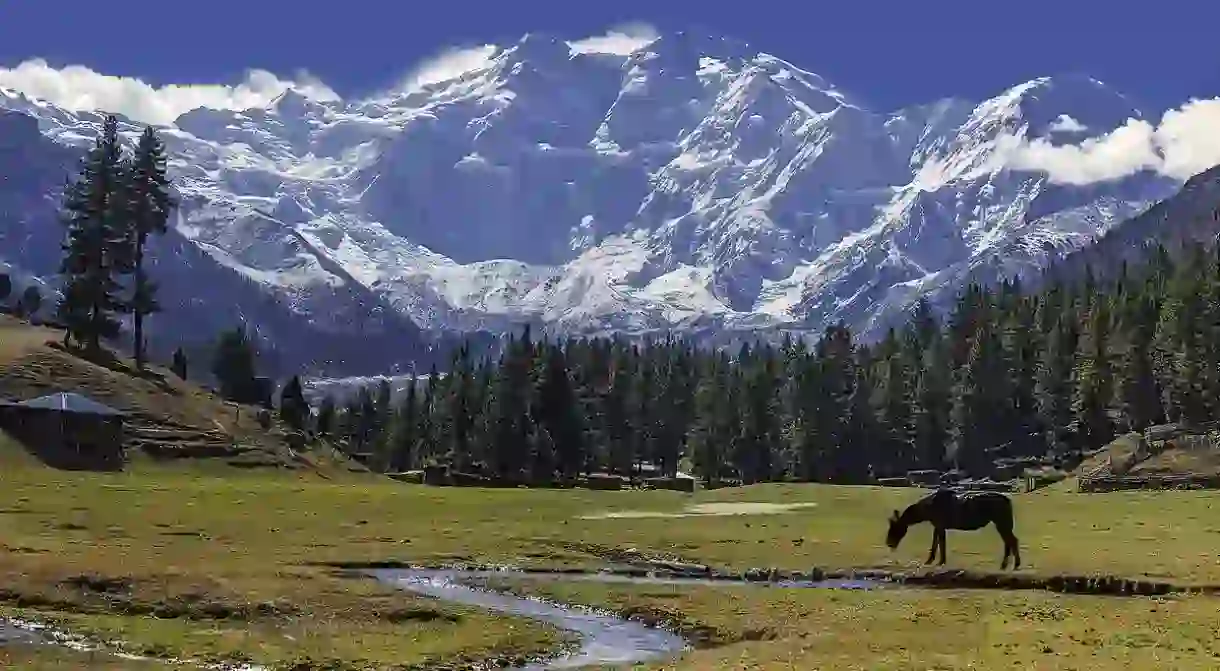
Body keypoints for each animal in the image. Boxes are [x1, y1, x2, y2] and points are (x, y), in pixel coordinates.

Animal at [888, 492, 1019, 570]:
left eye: (894, 528)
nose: (889, 543)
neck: (926, 510)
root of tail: (1008, 500)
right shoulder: (938, 526)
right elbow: (936, 544)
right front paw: (930, 560)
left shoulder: (940, 526)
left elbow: (940, 544)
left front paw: (940, 562)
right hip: (1002, 524)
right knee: (1008, 541)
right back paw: (1005, 565)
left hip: (1002, 523)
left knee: (1012, 541)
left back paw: (1014, 564)